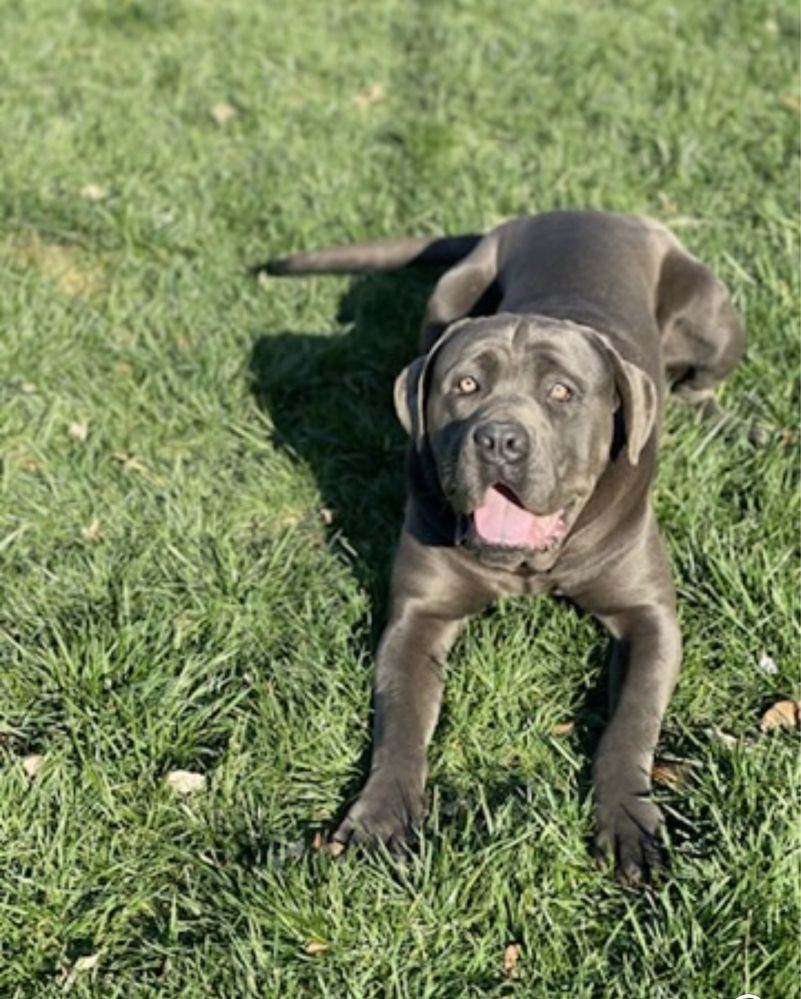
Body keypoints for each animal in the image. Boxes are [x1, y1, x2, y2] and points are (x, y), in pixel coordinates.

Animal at [264, 211, 744, 884]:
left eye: (562, 393)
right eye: (465, 384)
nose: (498, 439)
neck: (527, 564)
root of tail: (574, 210)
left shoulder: (649, 617)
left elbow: (630, 723)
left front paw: (627, 820)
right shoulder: (418, 617)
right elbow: (401, 722)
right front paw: (380, 815)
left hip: (714, 317)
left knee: (698, 387)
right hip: (450, 293)